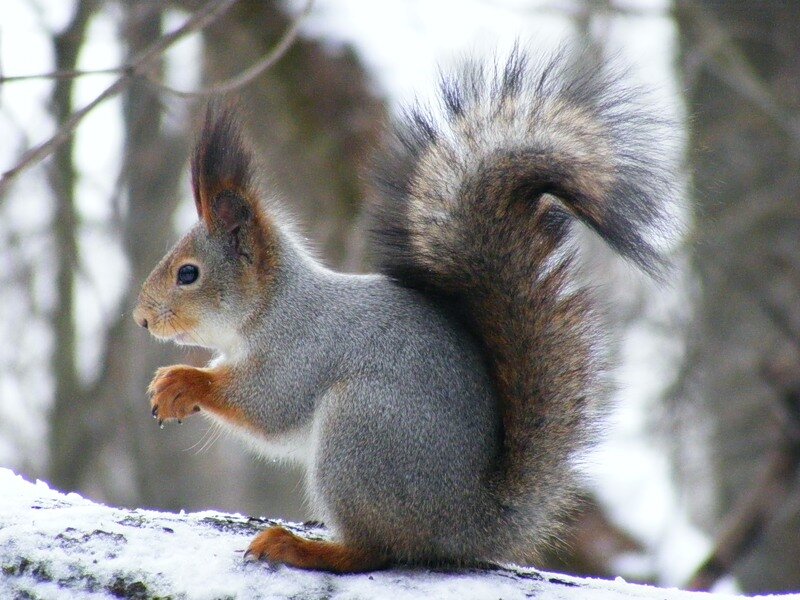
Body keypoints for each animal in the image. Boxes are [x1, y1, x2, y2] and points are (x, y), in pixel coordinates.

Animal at [131, 47, 676, 572]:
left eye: (188, 274)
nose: (142, 319)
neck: (271, 307)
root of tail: (468, 526)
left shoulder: (302, 350)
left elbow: (266, 405)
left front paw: (182, 384)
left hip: (362, 429)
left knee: (374, 551)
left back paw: (301, 548)